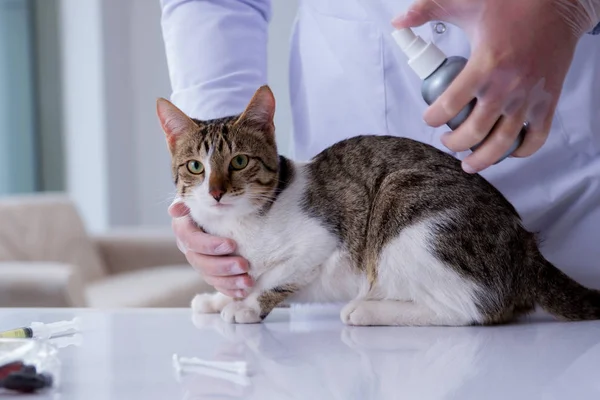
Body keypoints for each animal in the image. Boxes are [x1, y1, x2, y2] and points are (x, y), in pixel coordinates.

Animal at [156, 84, 600, 324]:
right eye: (195, 166)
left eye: (239, 162)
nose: (215, 191)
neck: (244, 224)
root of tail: (524, 246)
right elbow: (247, 277)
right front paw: (220, 298)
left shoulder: (322, 238)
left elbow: (278, 277)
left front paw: (247, 306)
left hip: (405, 210)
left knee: (469, 309)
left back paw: (368, 310)